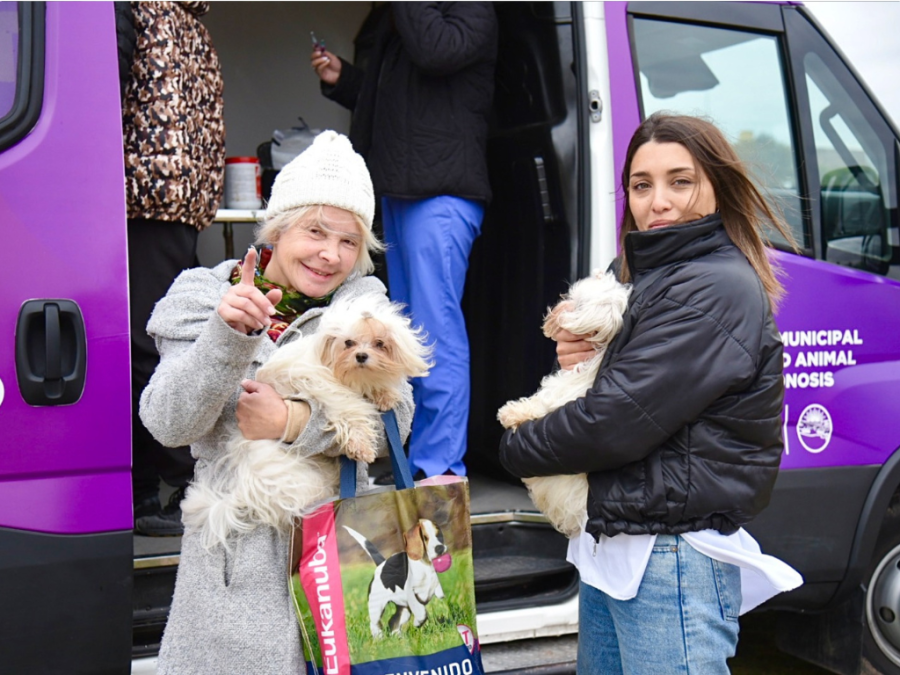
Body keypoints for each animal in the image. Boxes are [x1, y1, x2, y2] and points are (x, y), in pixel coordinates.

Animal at [182, 294, 432, 548]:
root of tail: (244, 492)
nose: (361, 356)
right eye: (348, 342)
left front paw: (385, 394)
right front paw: (361, 445)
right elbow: (350, 407)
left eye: (380, 343)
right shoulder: (322, 384)